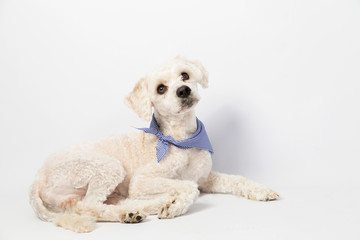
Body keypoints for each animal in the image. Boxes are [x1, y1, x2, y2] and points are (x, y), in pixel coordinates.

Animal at [29, 56, 280, 232]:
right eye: (161, 88)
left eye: (185, 75)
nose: (183, 90)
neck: (181, 140)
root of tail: (37, 179)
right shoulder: (143, 181)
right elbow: (189, 187)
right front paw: (176, 205)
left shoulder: (205, 177)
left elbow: (235, 179)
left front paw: (261, 190)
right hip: (105, 167)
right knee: (88, 206)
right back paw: (142, 209)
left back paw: (133, 210)